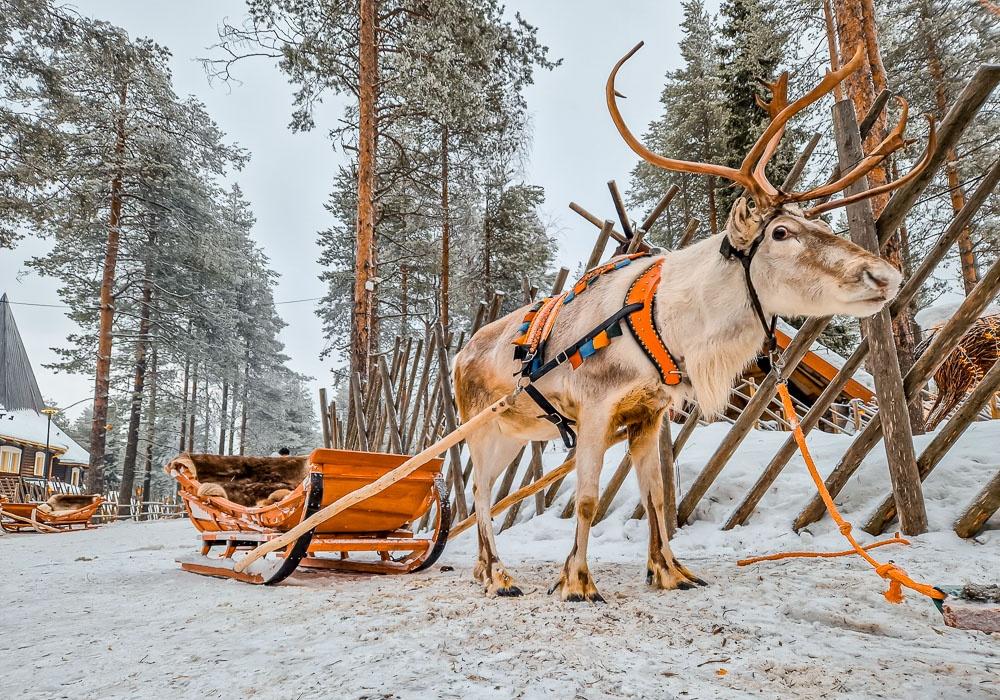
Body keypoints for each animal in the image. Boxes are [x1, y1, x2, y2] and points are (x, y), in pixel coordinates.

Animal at [453, 42, 936, 602]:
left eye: (818, 222)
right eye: (781, 232)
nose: (884, 275)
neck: (668, 322)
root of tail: (459, 355)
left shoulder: (647, 416)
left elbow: (657, 498)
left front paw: (669, 572)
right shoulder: (595, 409)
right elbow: (589, 499)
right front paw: (577, 582)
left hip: (514, 432)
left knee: (484, 494)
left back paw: (484, 569)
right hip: (479, 426)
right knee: (478, 494)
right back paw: (498, 574)